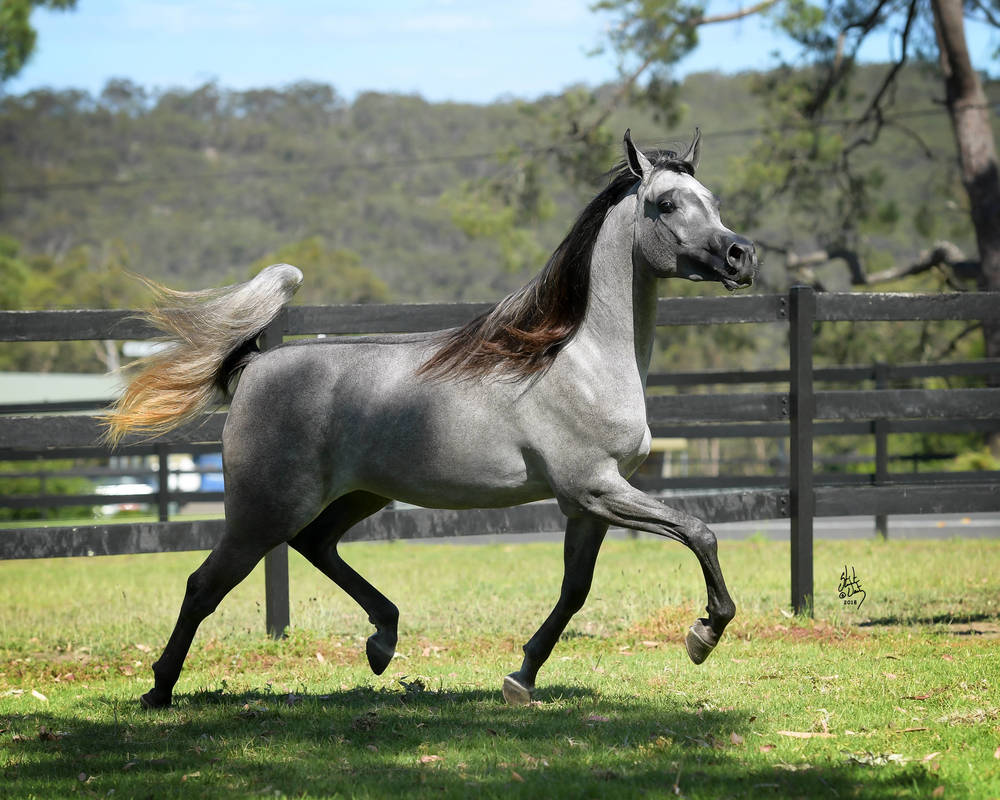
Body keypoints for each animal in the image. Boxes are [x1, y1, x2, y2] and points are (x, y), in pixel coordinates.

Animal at [105, 129, 757, 709]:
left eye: (713, 200)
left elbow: (575, 591)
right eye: (666, 203)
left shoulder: (587, 503)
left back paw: (382, 641)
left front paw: (521, 678)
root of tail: (255, 366)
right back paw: (159, 690)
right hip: (263, 511)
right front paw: (703, 634)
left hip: (358, 494)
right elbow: (699, 531)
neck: (581, 358)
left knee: (315, 544)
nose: (741, 255)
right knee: (204, 585)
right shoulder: (595, 488)